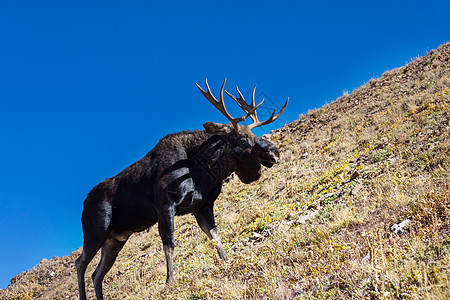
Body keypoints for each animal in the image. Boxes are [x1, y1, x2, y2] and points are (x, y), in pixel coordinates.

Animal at [74, 78, 288, 298]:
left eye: (254, 133)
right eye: (243, 139)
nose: (274, 151)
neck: (203, 172)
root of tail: (84, 205)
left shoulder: (202, 206)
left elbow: (215, 237)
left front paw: (227, 261)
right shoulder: (165, 205)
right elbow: (169, 244)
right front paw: (169, 281)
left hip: (116, 238)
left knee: (97, 274)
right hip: (96, 232)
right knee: (80, 263)